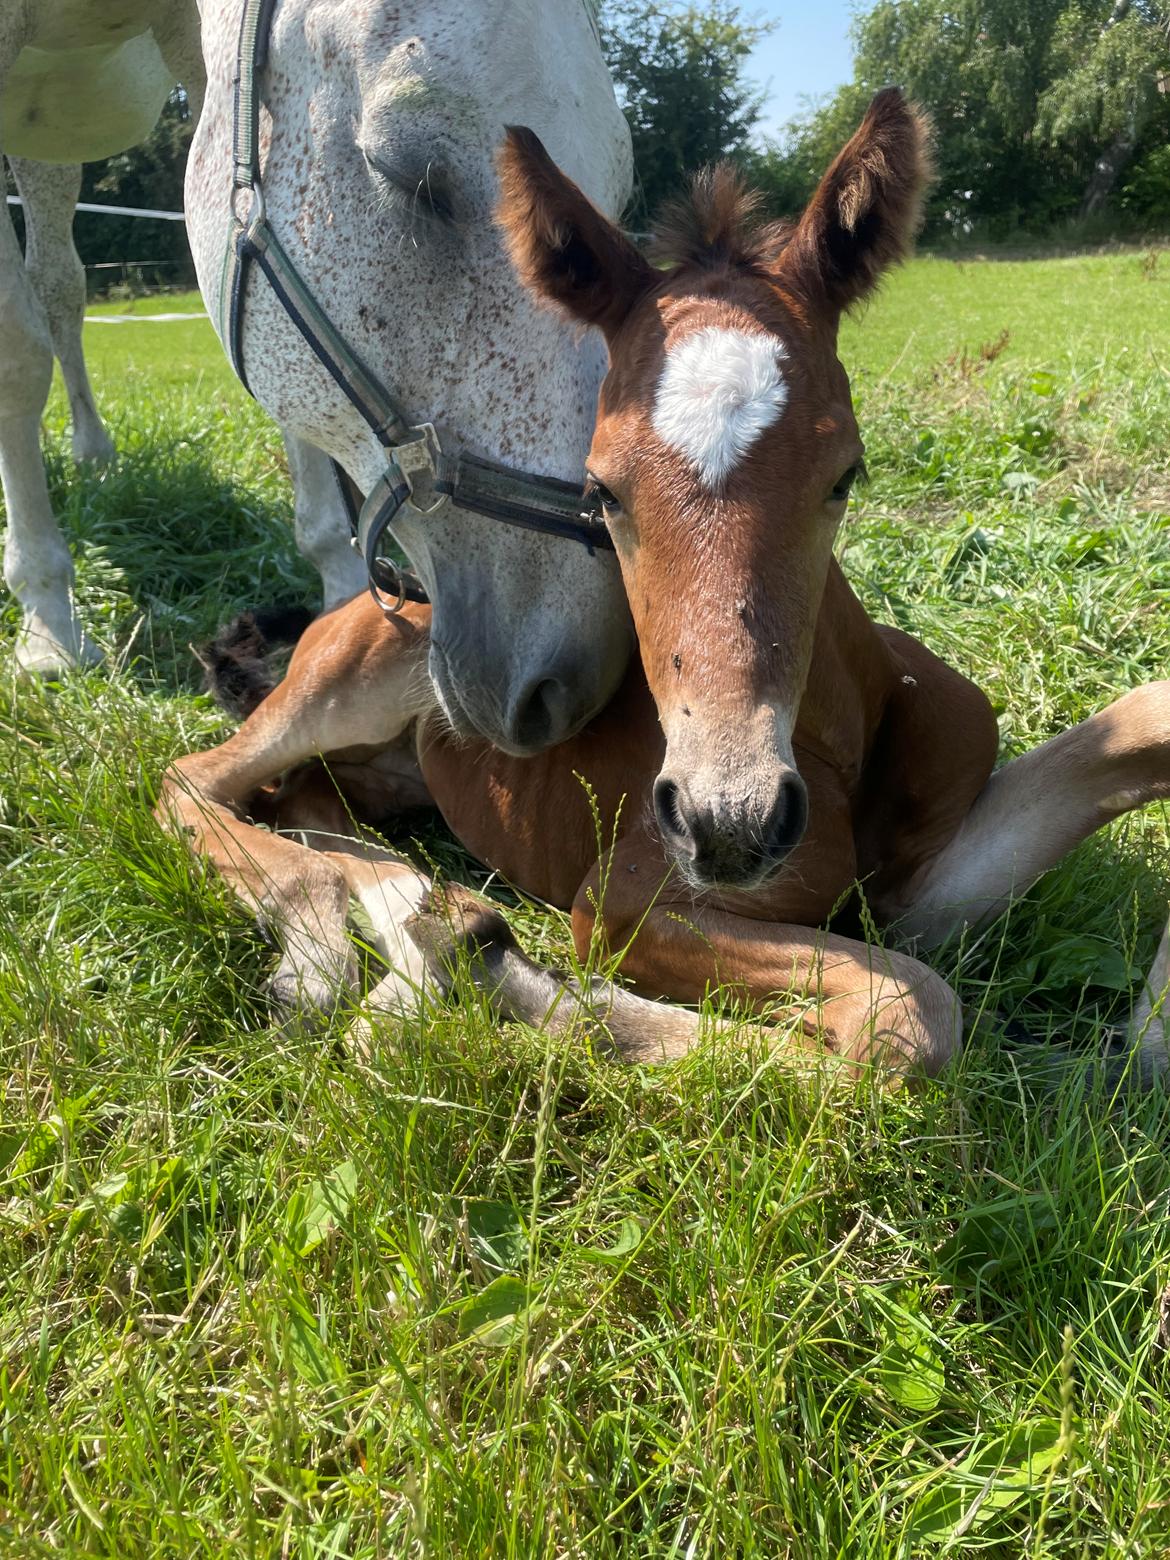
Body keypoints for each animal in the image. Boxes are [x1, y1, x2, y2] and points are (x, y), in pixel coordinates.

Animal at [160, 91, 1170, 1079]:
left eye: (846, 472)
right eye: (600, 489)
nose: (732, 822)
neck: (841, 730)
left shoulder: (923, 887)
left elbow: (1138, 727)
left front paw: (1145, 1046)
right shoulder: (628, 902)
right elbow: (906, 1016)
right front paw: (503, 977)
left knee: (306, 805)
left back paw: (408, 935)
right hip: (346, 685)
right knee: (195, 783)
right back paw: (340, 950)